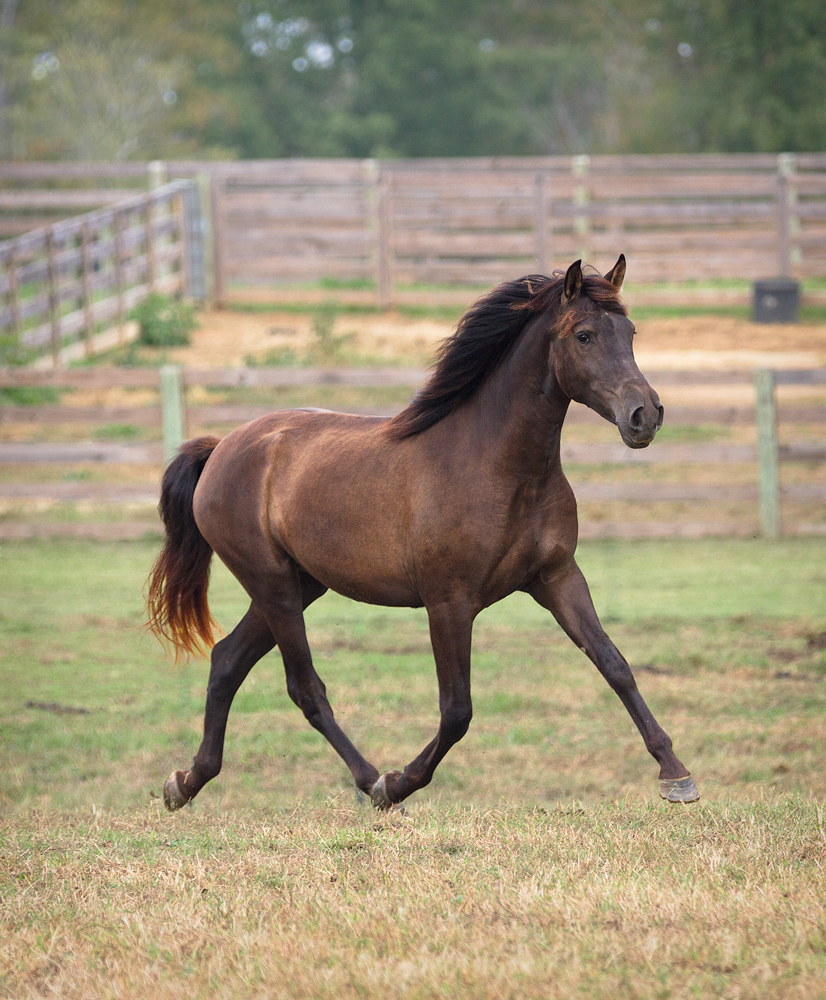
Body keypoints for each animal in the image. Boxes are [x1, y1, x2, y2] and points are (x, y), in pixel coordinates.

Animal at [146, 258, 696, 812]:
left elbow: (614, 663)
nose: (645, 415)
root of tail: (222, 447)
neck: (496, 467)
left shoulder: (557, 578)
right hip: (273, 584)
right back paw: (371, 781)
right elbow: (457, 711)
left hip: (300, 585)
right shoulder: (449, 602)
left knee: (226, 660)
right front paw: (399, 781)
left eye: (630, 333)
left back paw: (186, 781)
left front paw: (675, 774)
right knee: (304, 687)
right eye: (584, 335)